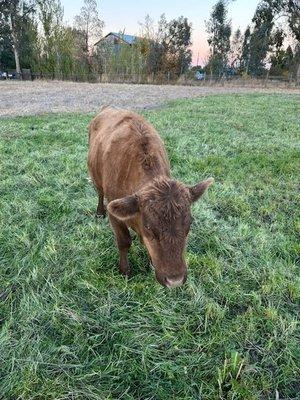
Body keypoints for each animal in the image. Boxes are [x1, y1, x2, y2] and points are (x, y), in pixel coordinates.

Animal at [87, 106, 213, 288]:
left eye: (189, 223)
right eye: (148, 227)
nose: (175, 280)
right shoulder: (115, 214)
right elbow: (124, 241)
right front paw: (125, 271)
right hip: (95, 176)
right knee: (99, 192)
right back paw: (99, 212)